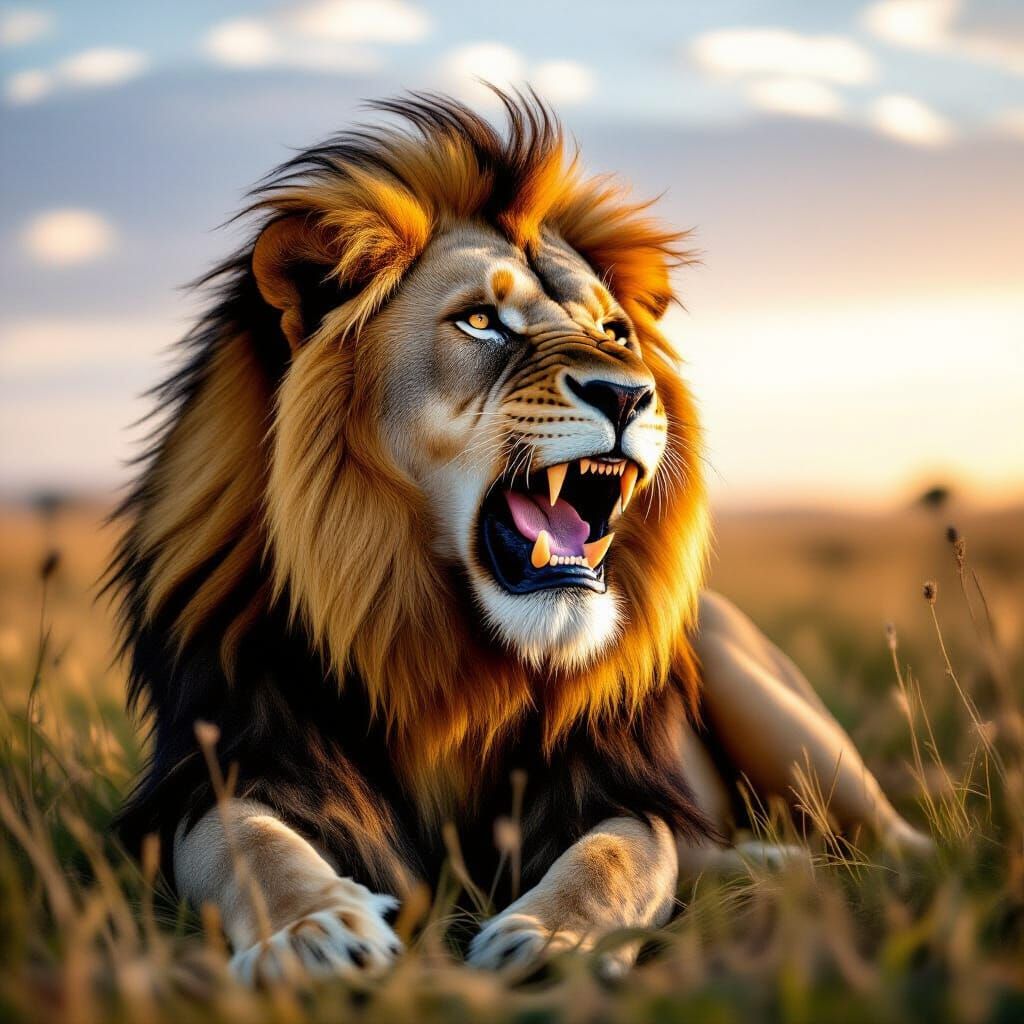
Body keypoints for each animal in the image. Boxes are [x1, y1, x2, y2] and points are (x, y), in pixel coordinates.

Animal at [110, 91, 928, 983]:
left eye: (615, 333)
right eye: (481, 321)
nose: (629, 394)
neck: (450, 663)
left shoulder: (623, 789)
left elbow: (619, 855)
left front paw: (552, 940)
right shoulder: (222, 766)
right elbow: (247, 844)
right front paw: (312, 930)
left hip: (773, 708)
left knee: (887, 835)